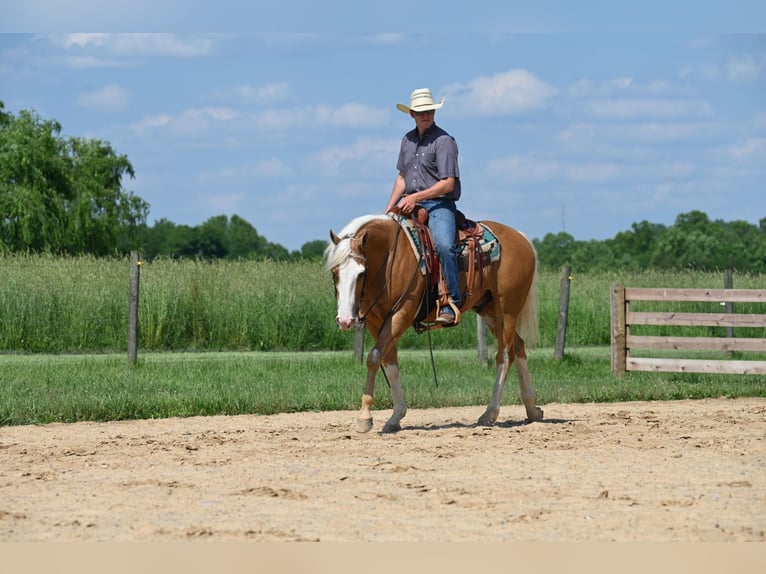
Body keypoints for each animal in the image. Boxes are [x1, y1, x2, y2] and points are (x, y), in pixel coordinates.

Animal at [326, 214, 544, 434]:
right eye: (335, 272)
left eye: (361, 273)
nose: (344, 320)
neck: (390, 258)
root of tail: (521, 238)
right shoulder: (375, 320)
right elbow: (389, 362)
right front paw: (396, 416)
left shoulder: (401, 314)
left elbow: (373, 357)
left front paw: (365, 417)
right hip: (489, 310)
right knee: (518, 346)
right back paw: (532, 409)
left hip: (507, 311)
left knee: (504, 356)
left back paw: (490, 413)